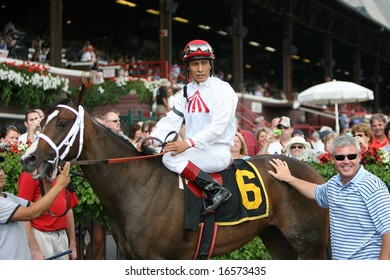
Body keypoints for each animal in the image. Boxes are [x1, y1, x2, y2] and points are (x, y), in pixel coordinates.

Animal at [19, 99, 328, 260]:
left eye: (62, 123)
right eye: (41, 121)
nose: (28, 159)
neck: (135, 187)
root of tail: (314, 174)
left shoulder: (156, 257)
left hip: (310, 245)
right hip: (278, 240)